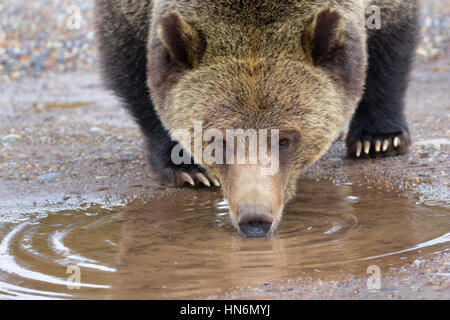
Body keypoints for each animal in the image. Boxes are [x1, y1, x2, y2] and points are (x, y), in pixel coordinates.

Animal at [95, 0, 418, 235]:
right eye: (218, 141)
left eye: (285, 140)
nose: (255, 218)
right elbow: (131, 61)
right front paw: (185, 166)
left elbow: (391, 36)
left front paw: (379, 139)